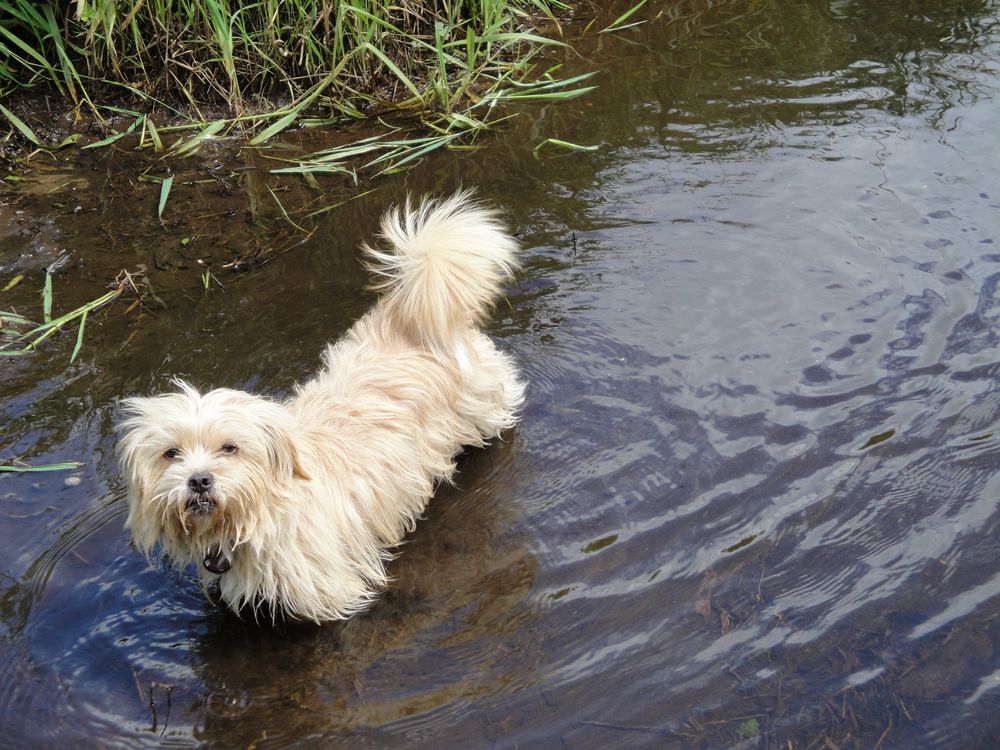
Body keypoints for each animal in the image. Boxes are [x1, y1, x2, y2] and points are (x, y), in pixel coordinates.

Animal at [117, 192, 524, 624]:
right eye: (170, 454)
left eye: (230, 448)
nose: (198, 480)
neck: (261, 515)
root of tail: (407, 315)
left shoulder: (327, 588)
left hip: (483, 406)